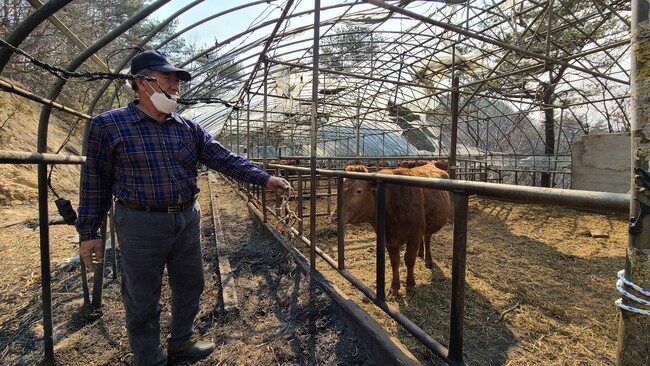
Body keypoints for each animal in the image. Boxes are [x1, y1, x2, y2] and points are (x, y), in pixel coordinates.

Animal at [330, 166, 426, 294]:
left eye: (358, 191)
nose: (333, 217)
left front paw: (410, 284)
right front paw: (394, 286)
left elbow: (409, 259)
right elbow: (395, 261)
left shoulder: (415, 235)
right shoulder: (388, 240)